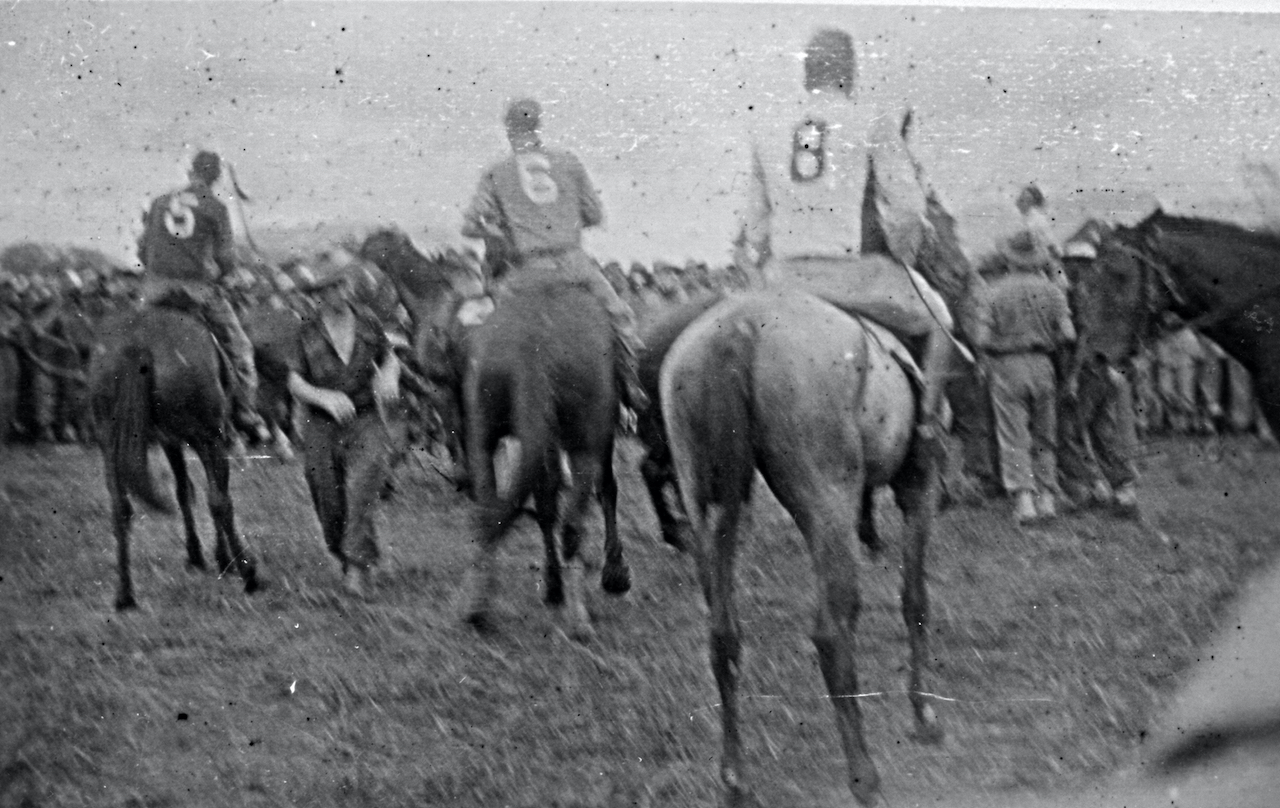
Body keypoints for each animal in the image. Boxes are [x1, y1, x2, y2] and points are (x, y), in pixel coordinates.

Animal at [90, 306, 259, 609]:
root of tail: (138, 344)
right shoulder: (206, 438)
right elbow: (215, 498)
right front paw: (224, 560)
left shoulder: (170, 442)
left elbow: (183, 492)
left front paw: (196, 555)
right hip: (209, 437)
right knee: (219, 500)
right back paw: (246, 570)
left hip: (109, 442)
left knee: (120, 508)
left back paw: (125, 595)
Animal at [465, 281, 634, 642]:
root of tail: (532, 348)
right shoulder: (596, 435)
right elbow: (604, 490)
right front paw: (615, 574)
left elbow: (545, 504)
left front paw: (554, 586)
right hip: (585, 439)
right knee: (574, 521)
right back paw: (579, 618)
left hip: (484, 432)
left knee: (489, 512)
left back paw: (476, 607)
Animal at [660, 290, 942, 808]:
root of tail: (738, 332)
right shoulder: (918, 485)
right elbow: (914, 600)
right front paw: (924, 715)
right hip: (826, 501)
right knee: (831, 634)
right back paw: (864, 776)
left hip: (707, 508)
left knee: (722, 637)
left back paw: (735, 779)